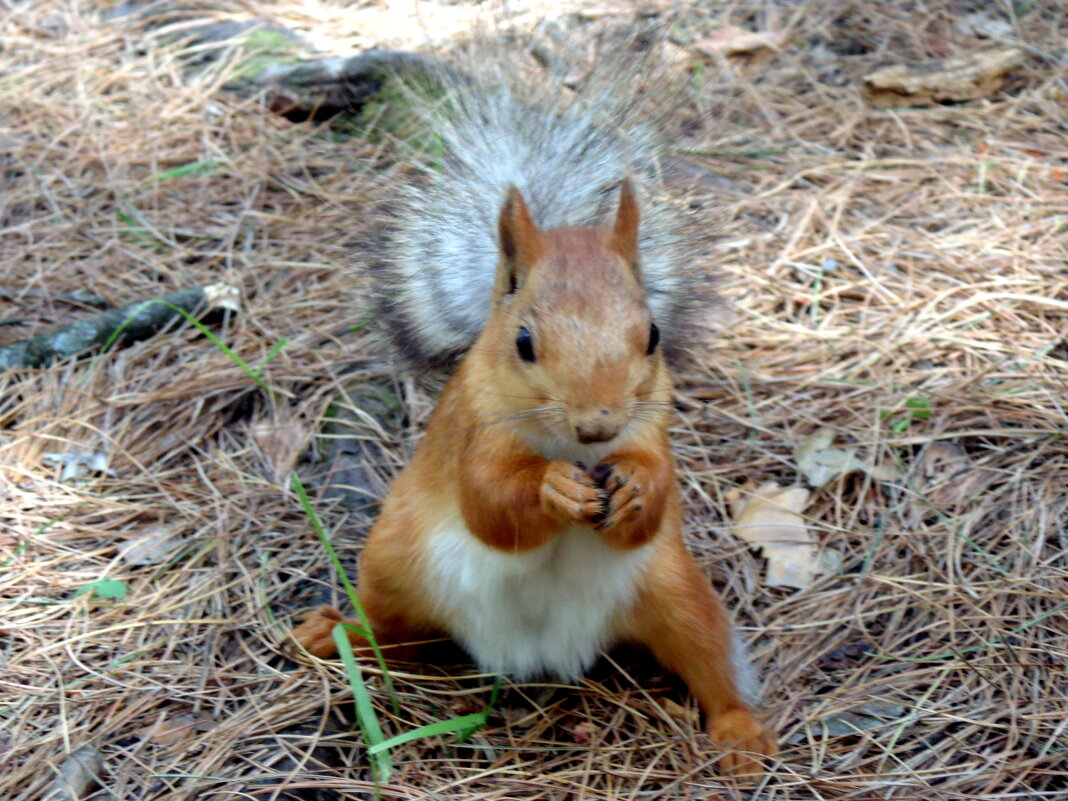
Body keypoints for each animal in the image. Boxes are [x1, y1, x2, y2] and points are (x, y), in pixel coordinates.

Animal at [292, 36, 777, 777]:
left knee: (711, 659)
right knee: (389, 631)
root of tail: (537, 652)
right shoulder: (473, 431)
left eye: (652, 335)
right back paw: (335, 631)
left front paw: (636, 488)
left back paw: (742, 734)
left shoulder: (653, 429)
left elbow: (653, 500)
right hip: (394, 564)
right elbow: (490, 505)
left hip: (679, 596)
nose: (598, 424)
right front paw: (553, 488)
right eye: (523, 341)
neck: (573, 448)